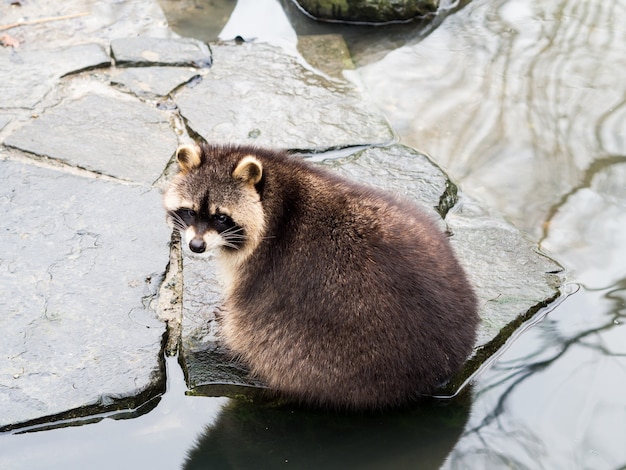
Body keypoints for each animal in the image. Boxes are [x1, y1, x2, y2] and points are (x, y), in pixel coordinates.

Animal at [162, 143, 478, 412]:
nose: (196, 246)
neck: (276, 195)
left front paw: (224, 313)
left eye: (221, 217)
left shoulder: (258, 265)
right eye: (189, 211)